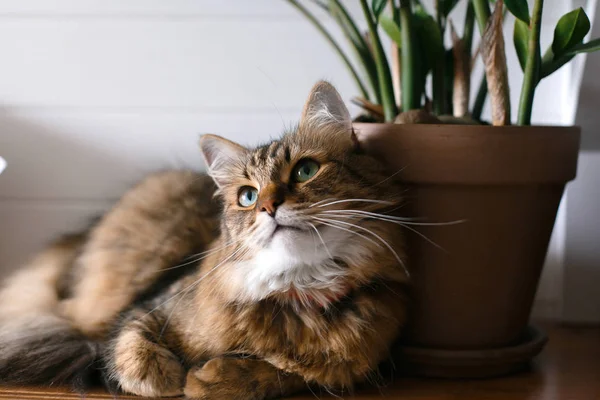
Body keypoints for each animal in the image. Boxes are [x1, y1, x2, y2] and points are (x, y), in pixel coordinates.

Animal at [0, 82, 408, 400]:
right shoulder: (144, 309)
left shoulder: (340, 369)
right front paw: (175, 378)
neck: (299, 289)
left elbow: (282, 373)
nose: (269, 206)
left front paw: (213, 379)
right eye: (247, 196)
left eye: (306, 170)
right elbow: (134, 355)